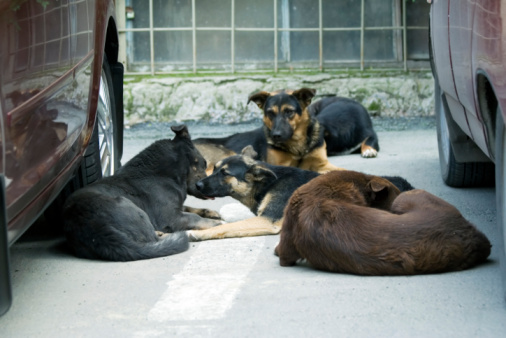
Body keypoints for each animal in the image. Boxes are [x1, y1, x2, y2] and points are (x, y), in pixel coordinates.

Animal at [62, 125, 220, 262]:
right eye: (204, 163)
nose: (203, 185)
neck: (165, 174)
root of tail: (98, 230)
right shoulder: (171, 217)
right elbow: (193, 217)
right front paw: (214, 224)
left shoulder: (177, 208)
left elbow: (191, 208)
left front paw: (211, 213)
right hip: (129, 205)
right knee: (153, 239)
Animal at [188, 147, 414, 242]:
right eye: (214, 168)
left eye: (225, 173)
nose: (196, 185)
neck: (269, 183)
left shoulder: (268, 220)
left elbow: (225, 227)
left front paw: (197, 233)